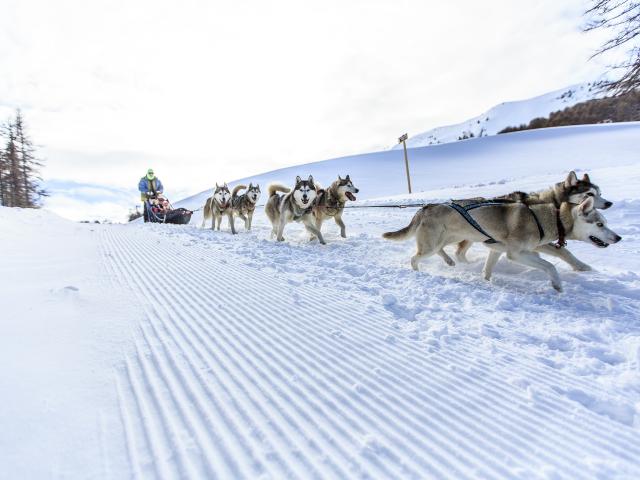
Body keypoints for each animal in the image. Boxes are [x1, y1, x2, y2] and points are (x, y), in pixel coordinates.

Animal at [384, 196, 620, 292]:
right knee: (415, 258)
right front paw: (557, 284)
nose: (618, 238)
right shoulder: (516, 254)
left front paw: (487, 281)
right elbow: (549, 265)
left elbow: (488, 270)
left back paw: (450, 261)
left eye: (606, 223)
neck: (544, 218)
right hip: (433, 243)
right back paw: (418, 272)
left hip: (450, 238)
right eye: (599, 224)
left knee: (443, 250)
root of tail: (424, 207)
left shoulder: (500, 250)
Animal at [452, 172, 612, 270]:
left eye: (600, 193)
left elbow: (561, 252)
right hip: (469, 236)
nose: (609, 203)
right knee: (459, 253)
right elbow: (562, 252)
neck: (552, 202)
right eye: (589, 194)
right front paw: (581, 266)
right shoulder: (537, 241)